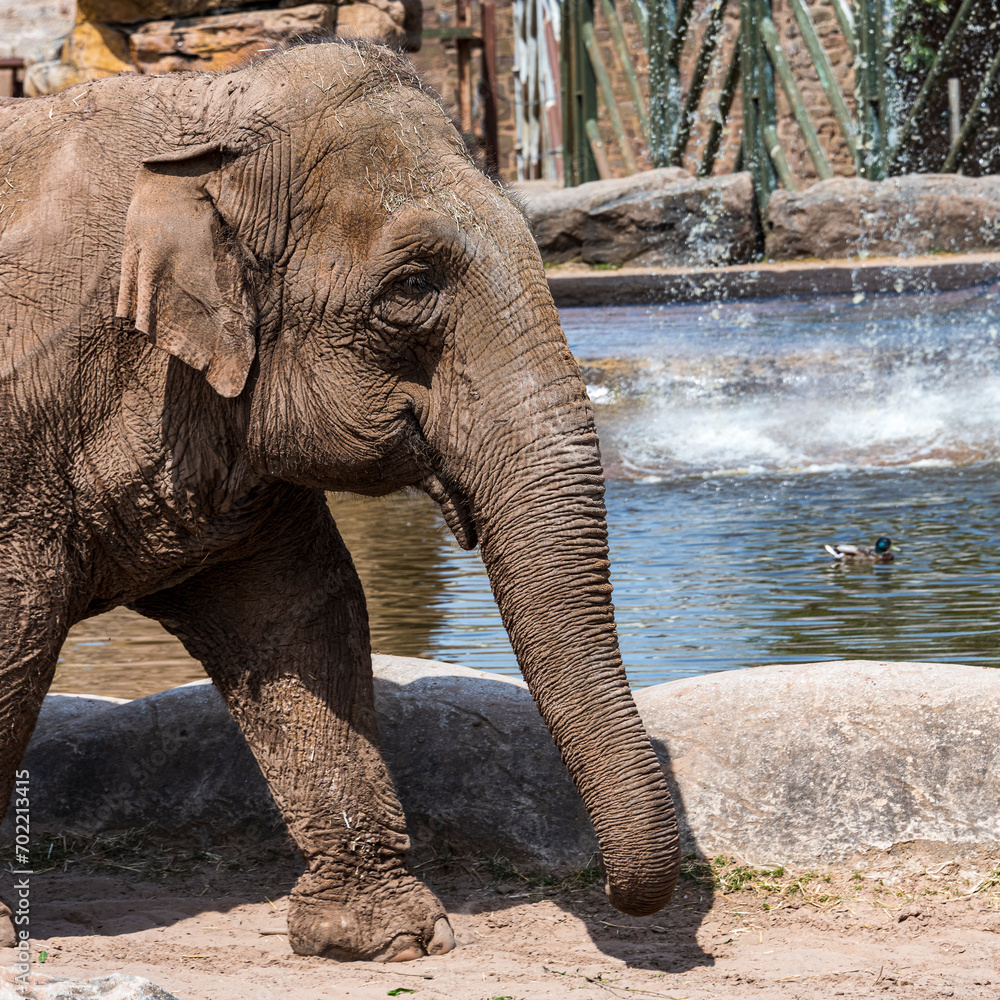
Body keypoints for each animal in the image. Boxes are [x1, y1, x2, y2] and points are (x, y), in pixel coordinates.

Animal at [0, 39, 680, 961]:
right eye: (413, 285)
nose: (612, 896)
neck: (200, 116)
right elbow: (18, 620)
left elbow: (298, 610)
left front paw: (387, 940)